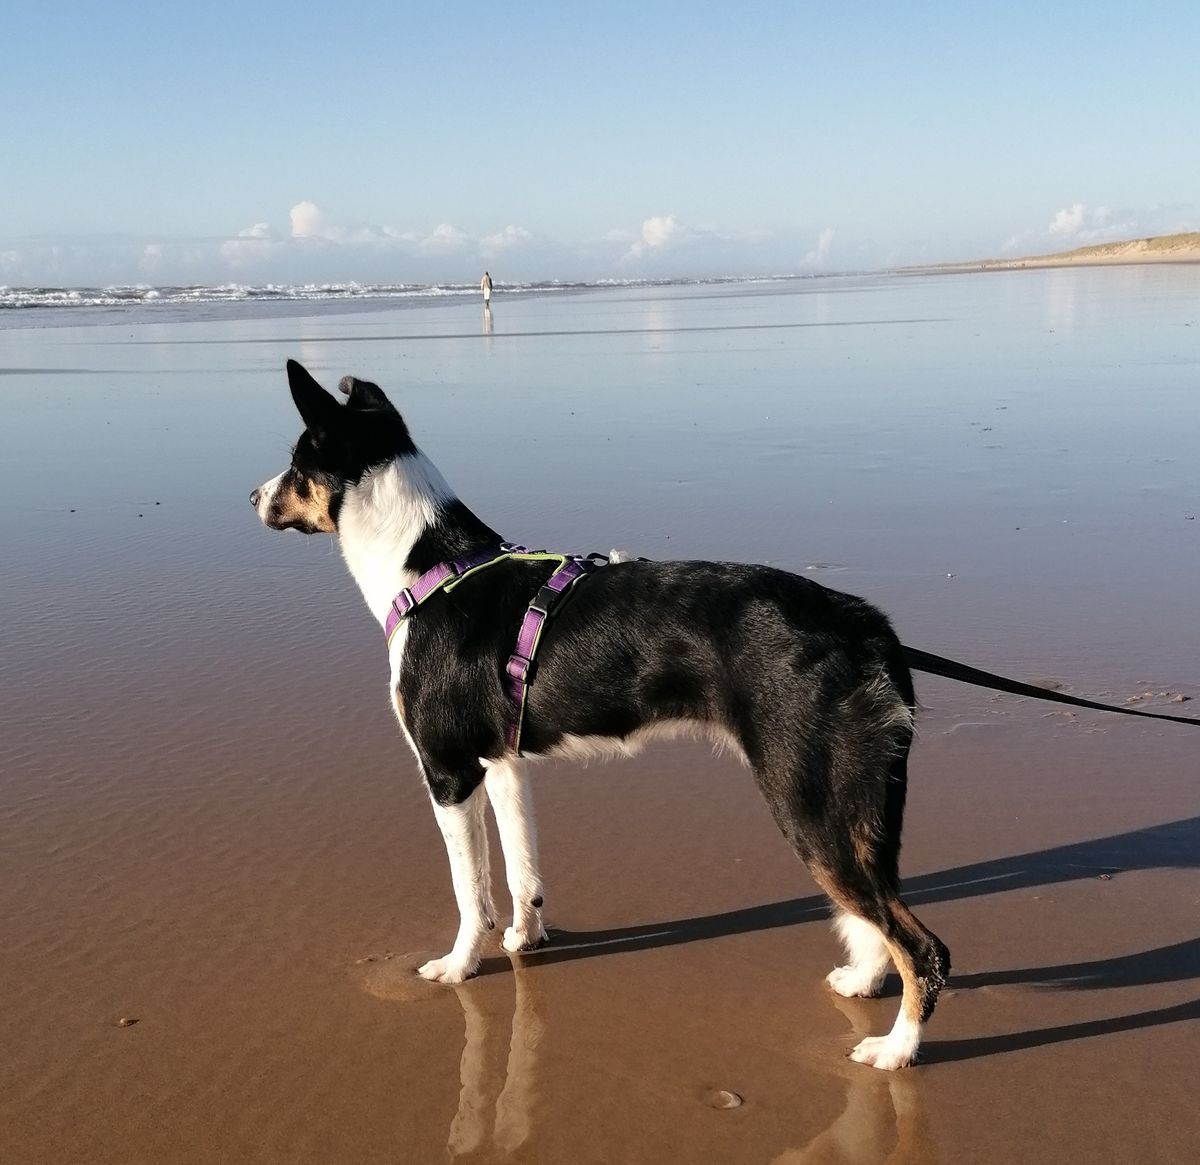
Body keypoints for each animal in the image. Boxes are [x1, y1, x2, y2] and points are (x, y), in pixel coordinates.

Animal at [253, 359, 955, 1070]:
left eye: (295, 462)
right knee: (881, 921)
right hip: (860, 808)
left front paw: (459, 966)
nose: (253, 495)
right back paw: (864, 982)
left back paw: (897, 1049)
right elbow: (522, 871)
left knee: (924, 948)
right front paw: (525, 940)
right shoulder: (501, 764)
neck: (428, 567)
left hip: (809, 805)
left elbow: (470, 890)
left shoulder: (447, 773)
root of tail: (864, 624)